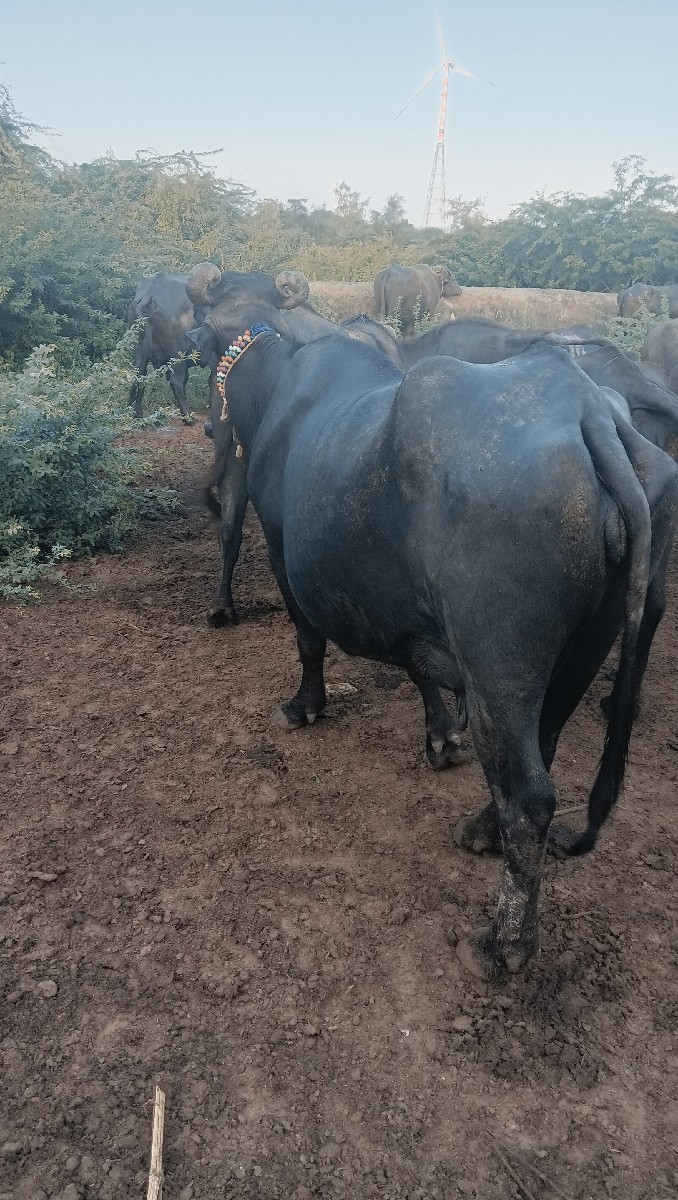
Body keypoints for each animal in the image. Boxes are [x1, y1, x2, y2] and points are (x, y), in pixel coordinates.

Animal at [127, 273, 208, 419]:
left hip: (139, 351)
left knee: (139, 376)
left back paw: (135, 412)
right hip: (177, 354)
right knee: (176, 381)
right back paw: (188, 416)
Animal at [187, 308, 677, 981]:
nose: (211, 423)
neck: (281, 389)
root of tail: (590, 413)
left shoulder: (286, 556)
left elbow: (309, 639)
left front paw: (303, 706)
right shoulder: (411, 615)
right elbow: (420, 670)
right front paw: (441, 735)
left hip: (498, 666)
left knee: (530, 797)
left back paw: (504, 943)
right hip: (585, 647)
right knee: (542, 748)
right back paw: (481, 831)